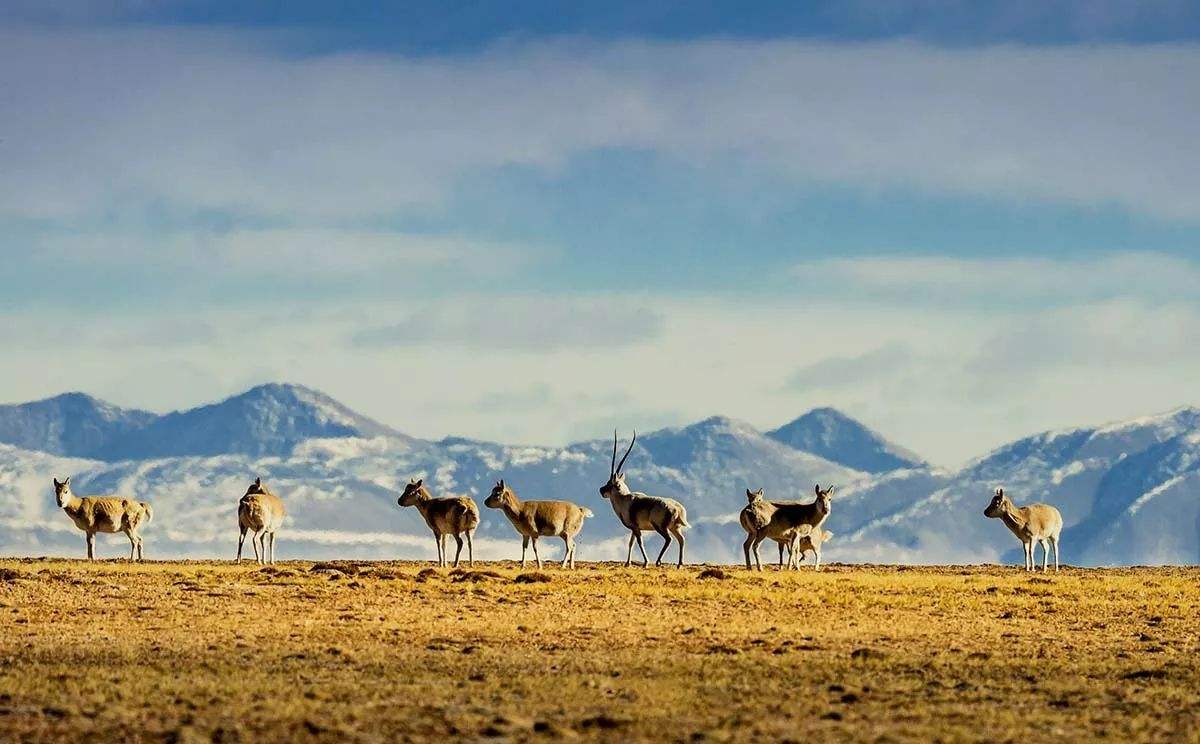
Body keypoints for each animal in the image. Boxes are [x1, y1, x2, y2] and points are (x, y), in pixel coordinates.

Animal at [597, 429, 691, 568]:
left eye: (610, 483)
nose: (601, 490)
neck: (624, 499)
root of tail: (678, 508)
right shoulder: (634, 529)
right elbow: (631, 543)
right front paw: (627, 563)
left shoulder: (636, 528)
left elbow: (640, 542)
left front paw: (645, 563)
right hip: (675, 527)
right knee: (681, 539)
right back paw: (679, 564)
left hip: (660, 527)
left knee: (669, 539)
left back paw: (658, 562)